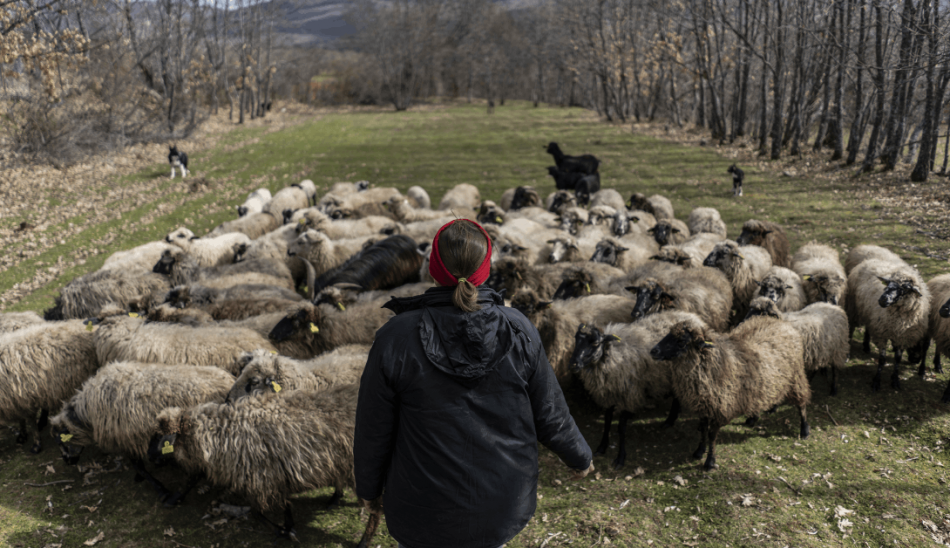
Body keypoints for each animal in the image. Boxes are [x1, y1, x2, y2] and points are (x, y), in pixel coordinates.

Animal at [50, 362, 234, 504]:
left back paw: (176, 498)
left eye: (60, 441)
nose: (67, 461)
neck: (87, 413)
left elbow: (139, 466)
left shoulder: (126, 438)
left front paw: (160, 489)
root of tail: (228, 382)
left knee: (197, 472)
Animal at [572, 312, 700, 466]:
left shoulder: (630, 395)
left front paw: (620, 458)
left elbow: (621, 427)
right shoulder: (610, 393)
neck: (612, 356)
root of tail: (692, 315)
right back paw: (670, 419)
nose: (573, 364)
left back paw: (670, 419)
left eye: (595, 343)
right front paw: (602, 447)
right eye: (576, 340)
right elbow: (607, 420)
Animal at [656, 314, 812, 474]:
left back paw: (804, 430)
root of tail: (781, 323)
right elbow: (703, 430)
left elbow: (712, 434)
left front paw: (710, 461)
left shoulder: (720, 408)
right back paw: (754, 417)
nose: (653, 351)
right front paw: (699, 451)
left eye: (681, 341)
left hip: (796, 377)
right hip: (770, 382)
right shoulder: (704, 406)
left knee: (802, 404)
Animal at [848, 260, 928, 392]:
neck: (896, 321)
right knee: (850, 329)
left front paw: (895, 380)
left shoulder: (902, 337)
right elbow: (882, 359)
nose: (882, 299)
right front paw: (876, 381)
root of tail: (870, 260)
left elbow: (898, 359)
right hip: (853, 307)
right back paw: (847, 354)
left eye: (905, 288)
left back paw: (866, 346)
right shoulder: (882, 334)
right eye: (888, 284)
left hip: (870, 316)